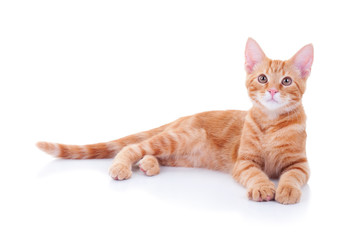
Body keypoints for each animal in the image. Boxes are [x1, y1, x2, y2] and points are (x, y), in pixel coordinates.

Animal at [36, 38, 312, 204]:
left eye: (286, 81)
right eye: (263, 78)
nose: (273, 91)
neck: (271, 123)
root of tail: (182, 118)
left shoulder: (300, 164)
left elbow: (292, 175)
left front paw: (287, 189)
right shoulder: (244, 161)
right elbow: (256, 174)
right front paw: (264, 187)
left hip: (182, 153)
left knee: (151, 154)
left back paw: (148, 164)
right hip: (180, 137)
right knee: (132, 147)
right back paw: (123, 166)